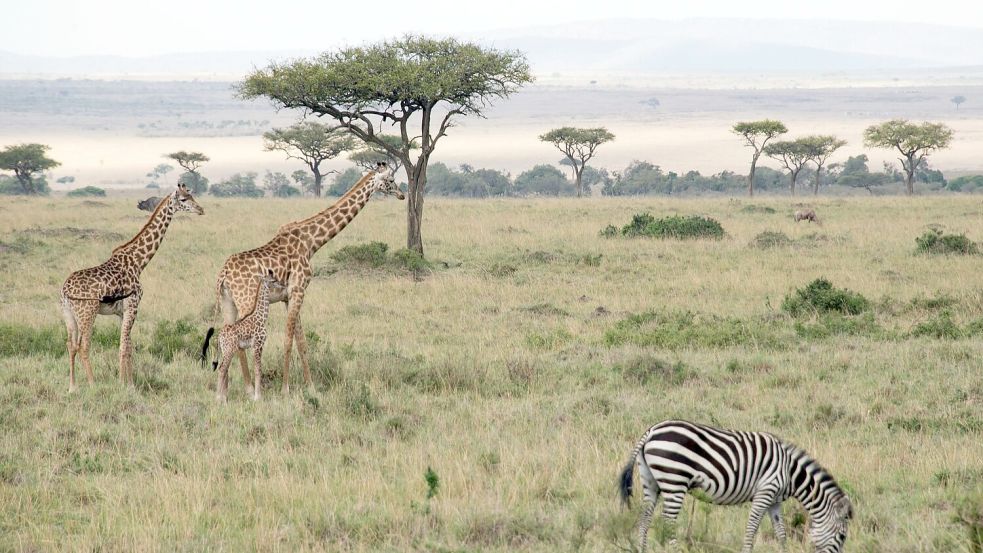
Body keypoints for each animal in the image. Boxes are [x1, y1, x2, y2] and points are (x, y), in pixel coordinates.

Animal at [619, 420, 852, 552]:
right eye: (842, 537)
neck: (790, 472)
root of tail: (651, 431)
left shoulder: (774, 502)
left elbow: (781, 533)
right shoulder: (765, 492)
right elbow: (752, 529)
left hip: (651, 481)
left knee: (645, 518)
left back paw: (641, 549)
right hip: (674, 479)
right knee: (668, 522)